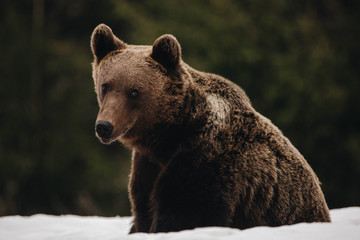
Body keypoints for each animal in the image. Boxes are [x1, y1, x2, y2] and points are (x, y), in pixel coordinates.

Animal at [90, 23, 332, 232]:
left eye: (134, 91)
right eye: (105, 86)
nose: (104, 126)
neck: (168, 136)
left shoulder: (207, 160)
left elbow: (186, 210)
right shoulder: (147, 166)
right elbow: (143, 209)